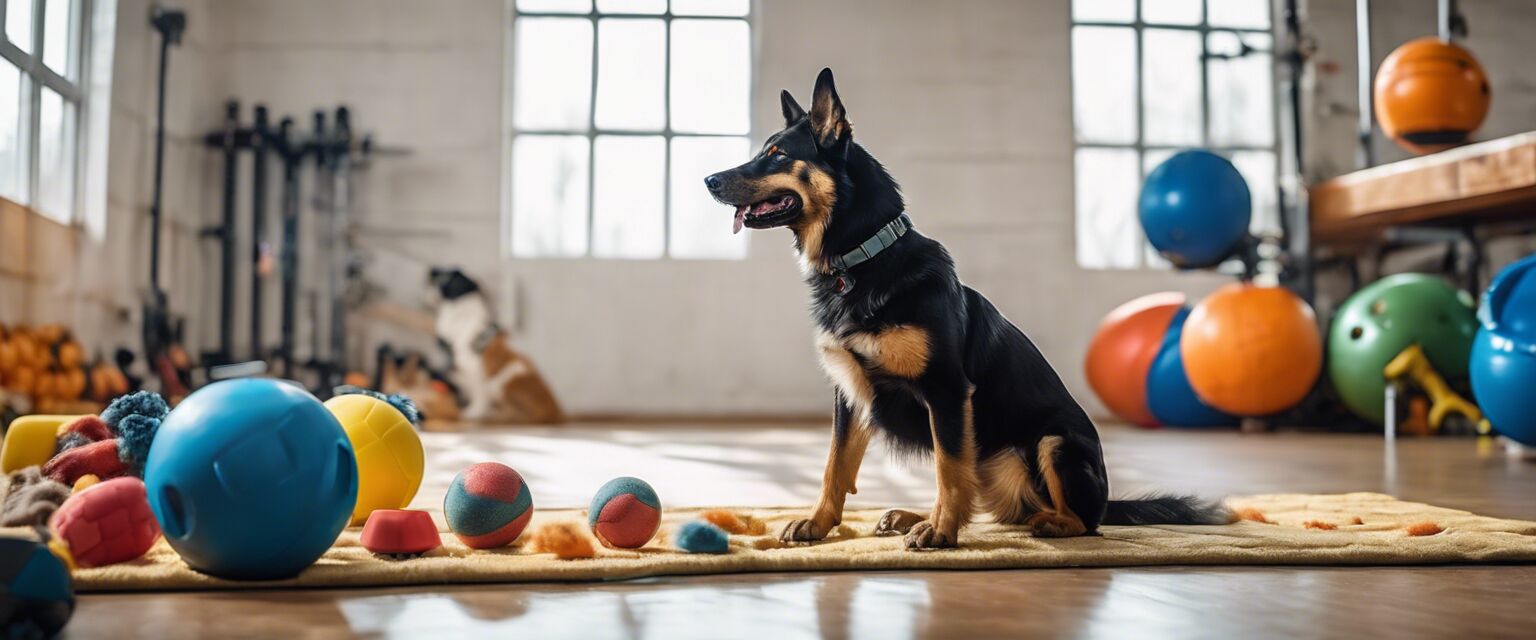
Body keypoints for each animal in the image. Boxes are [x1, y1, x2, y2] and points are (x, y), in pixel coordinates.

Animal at [427, 265, 565, 423]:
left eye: (444, 279)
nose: (430, 269)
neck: (462, 317)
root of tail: (557, 413)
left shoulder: (474, 368)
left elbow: (478, 396)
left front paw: (472, 413)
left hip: (504, 379)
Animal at [703, 68, 1228, 549]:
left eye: (777, 155)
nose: (708, 179)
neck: (865, 259)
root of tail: (1106, 499)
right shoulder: (850, 397)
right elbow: (835, 466)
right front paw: (818, 523)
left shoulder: (947, 391)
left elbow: (948, 469)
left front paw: (940, 533)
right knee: (988, 503)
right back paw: (911, 516)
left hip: (1054, 442)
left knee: (1080, 521)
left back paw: (1044, 523)